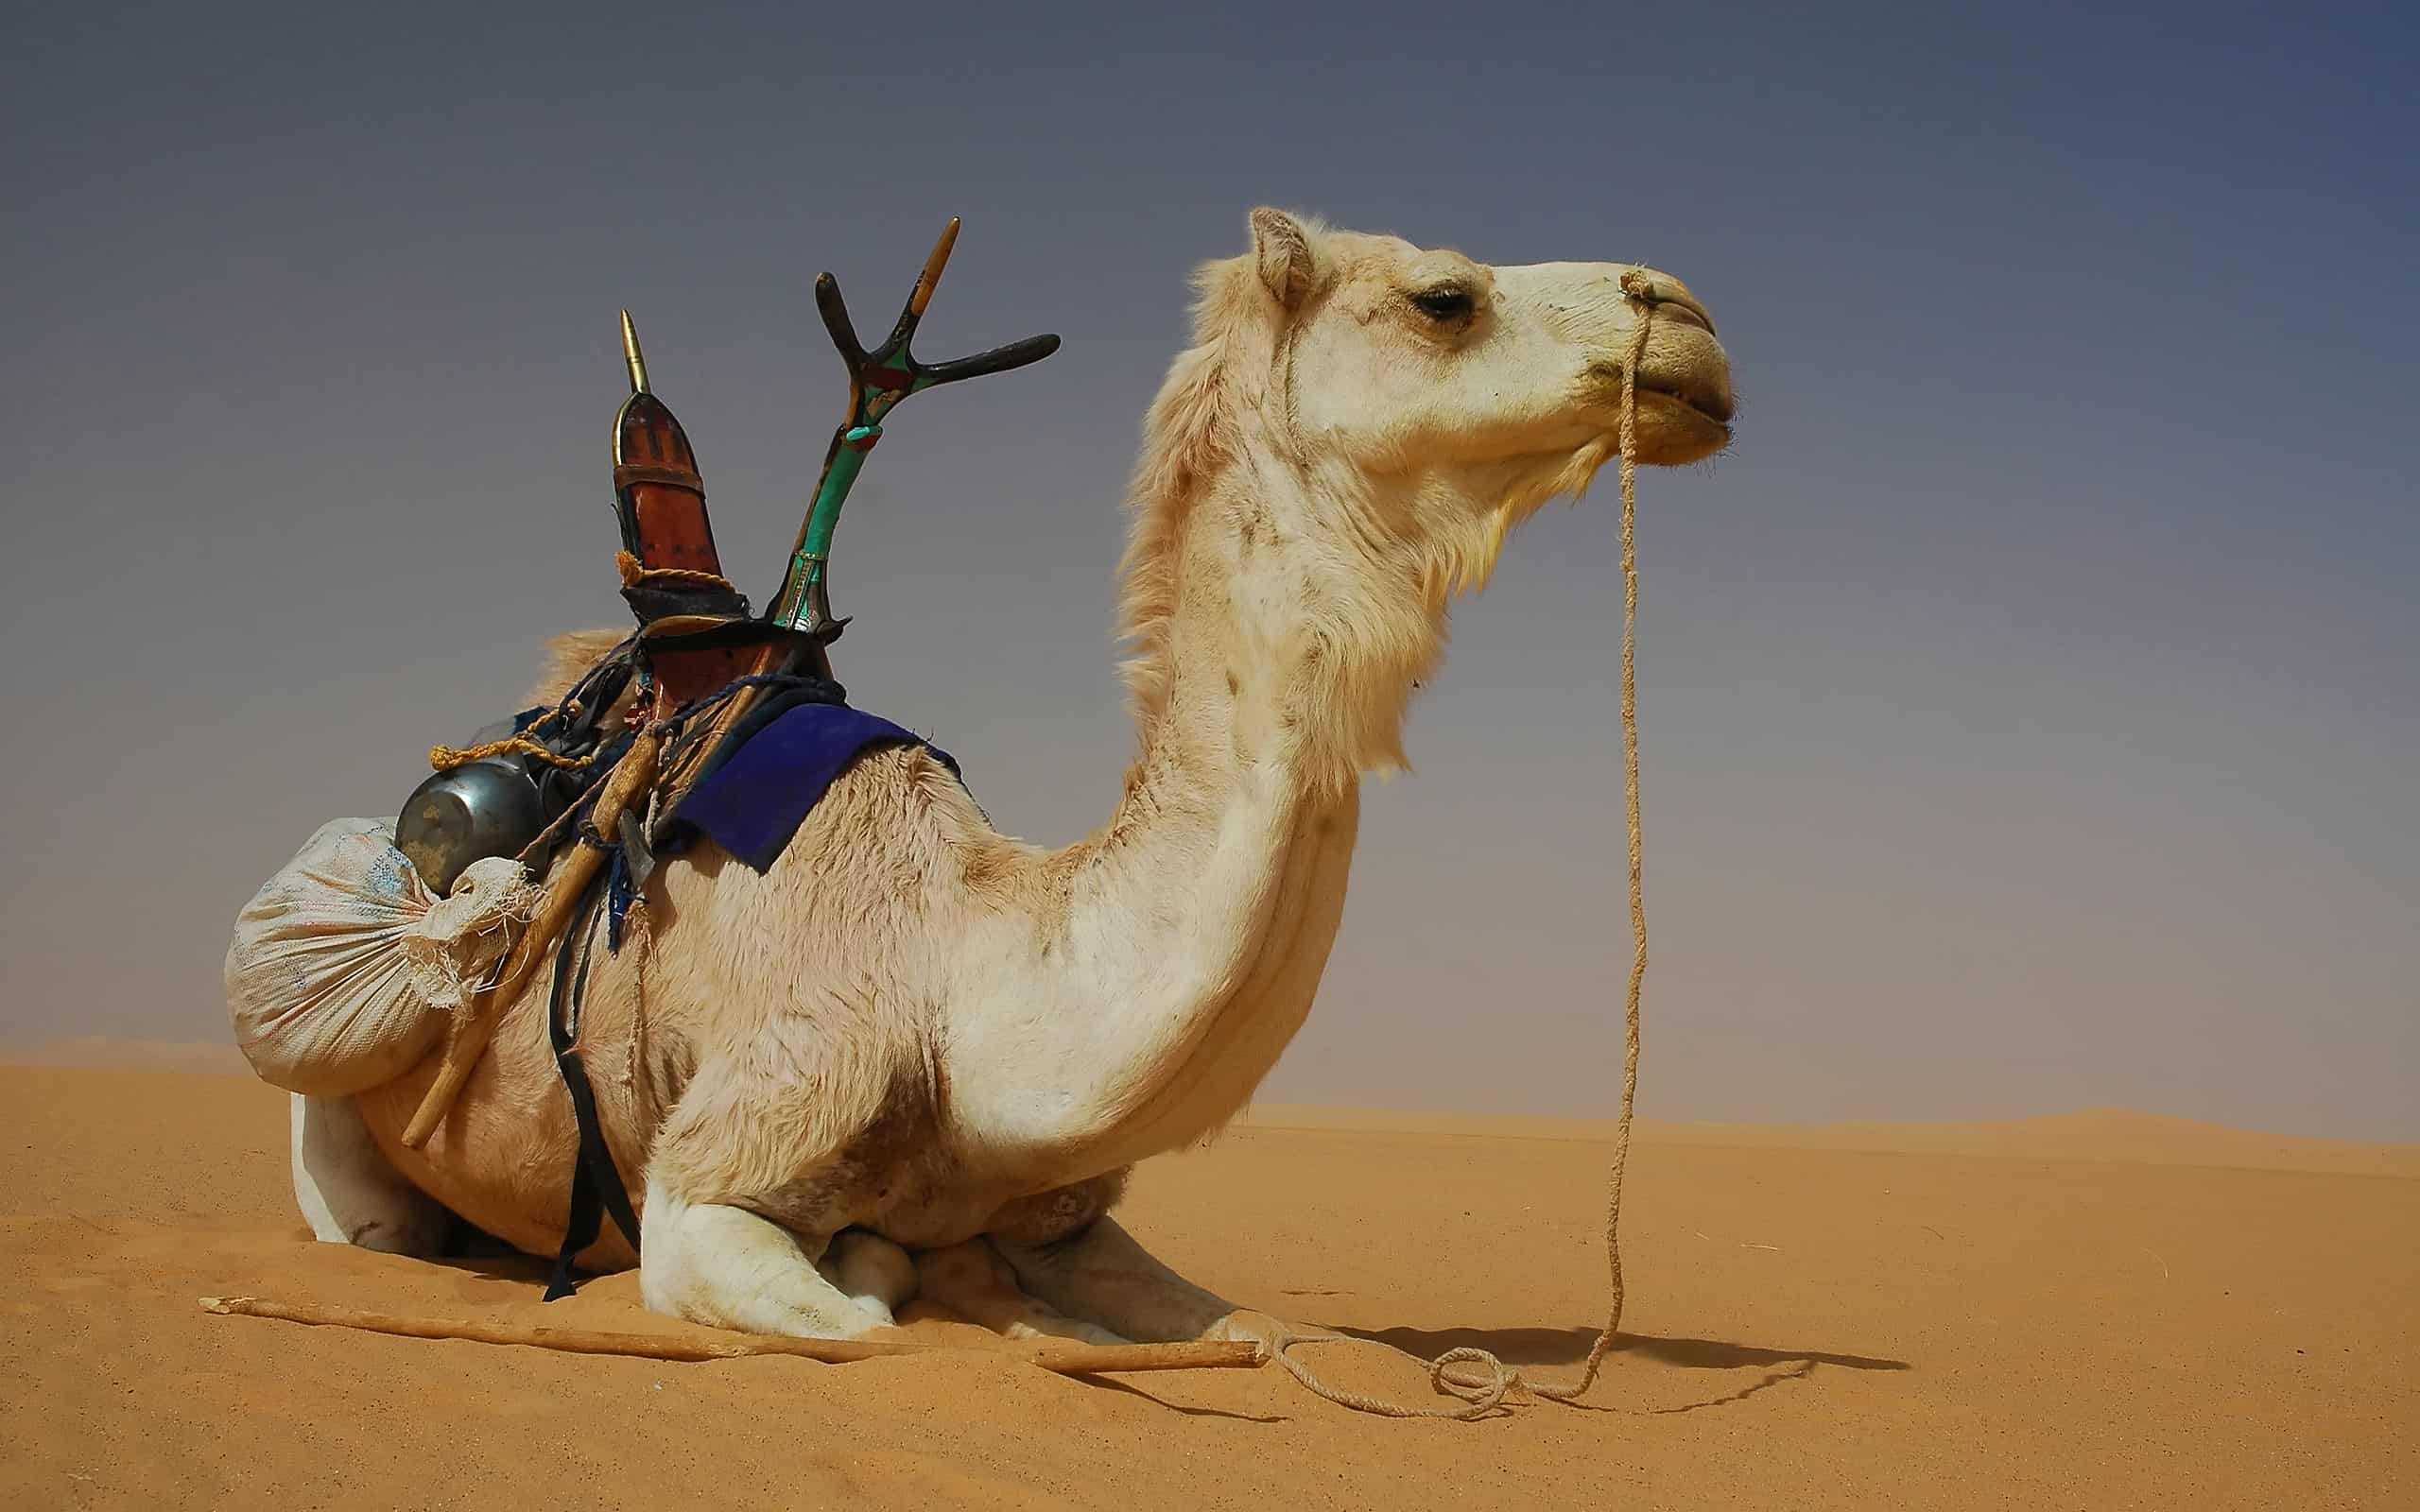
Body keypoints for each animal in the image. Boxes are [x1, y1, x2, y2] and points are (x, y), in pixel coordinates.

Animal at [294, 208, 1734, 1351]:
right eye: (1446, 297)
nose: (1689, 320)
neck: (954, 973)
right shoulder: (711, 1175)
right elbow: (862, 1317)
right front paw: (908, 1273)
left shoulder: (1070, 1215)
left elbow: (1255, 1330)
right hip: (343, 1132)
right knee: (373, 1226)